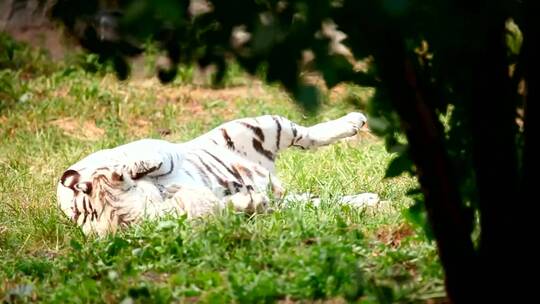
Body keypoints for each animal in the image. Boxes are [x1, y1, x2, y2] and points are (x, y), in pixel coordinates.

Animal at [57, 113, 380, 236]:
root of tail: (270, 177)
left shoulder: (157, 151)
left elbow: (146, 159)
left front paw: (135, 168)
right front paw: (248, 202)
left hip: (255, 126)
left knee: (307, 134)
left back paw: (354, 120)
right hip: (290, 199)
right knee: (323, 201)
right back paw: (369, 200)